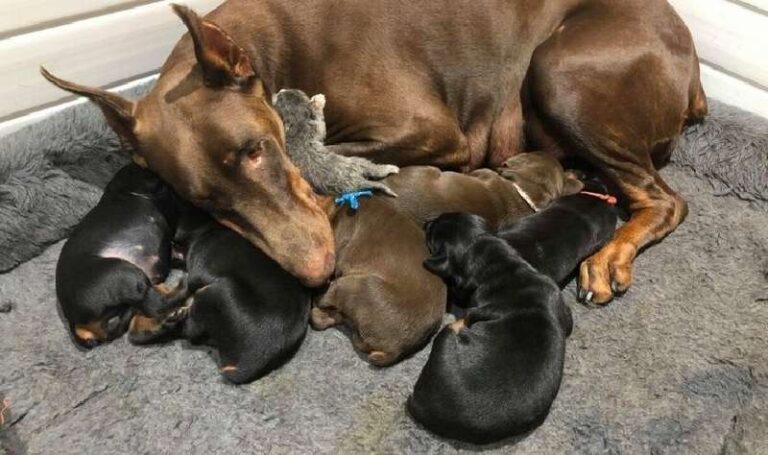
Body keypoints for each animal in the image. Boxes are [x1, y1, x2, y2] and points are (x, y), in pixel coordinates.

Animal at [40, 0, 704, 304]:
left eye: (258, 150)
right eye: (207, 203)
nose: (315, 270)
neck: (268, 50)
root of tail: (693, 62)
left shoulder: (434, 130)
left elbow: (325, 153)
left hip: (560, 72)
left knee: (665, 200)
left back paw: (609, 256)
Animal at [160, 208, 310, 384]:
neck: (209, 227)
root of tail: (246, 367)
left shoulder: (197, 270)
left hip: (212, 293)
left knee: (191, 331)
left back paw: (176, 315)